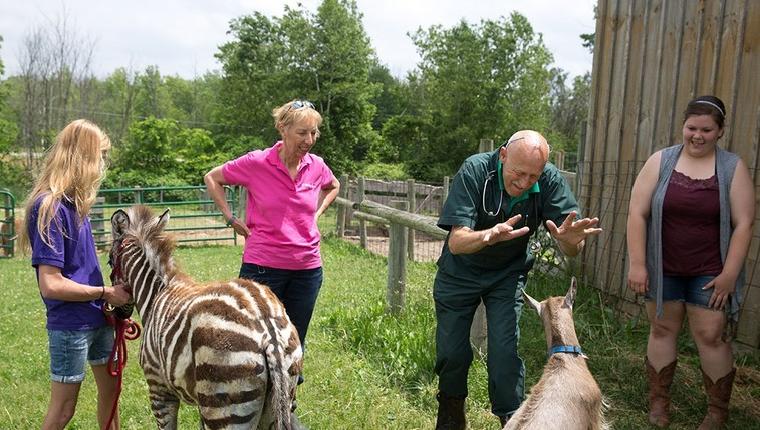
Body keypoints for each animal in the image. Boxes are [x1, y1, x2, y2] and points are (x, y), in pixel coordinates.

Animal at [110, 206, 306, 430]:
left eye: (109, 260)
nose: (117, 315)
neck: (156, 293)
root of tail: (264, 320)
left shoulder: (158, 387)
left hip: (222, 402)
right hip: (277, 399)